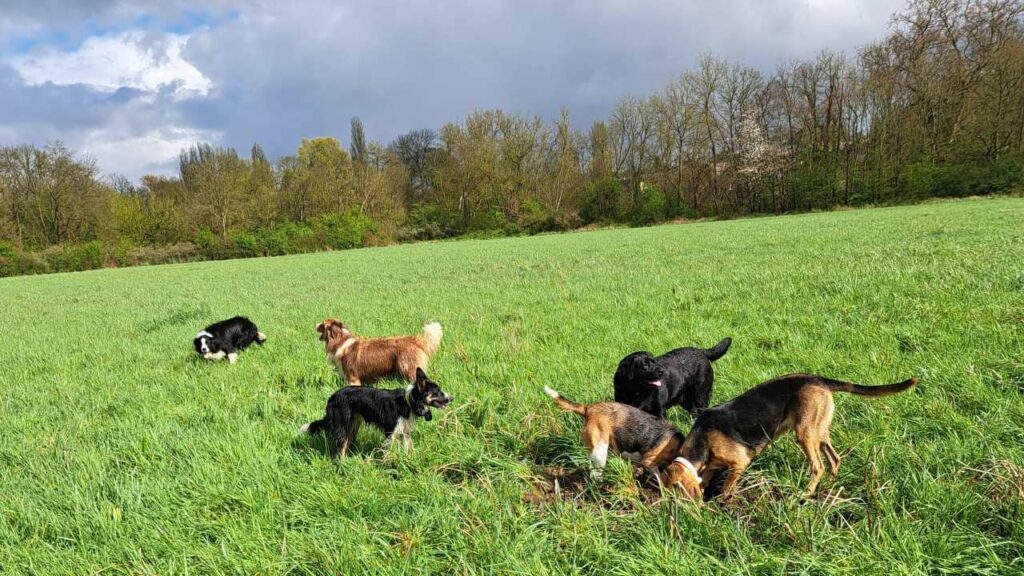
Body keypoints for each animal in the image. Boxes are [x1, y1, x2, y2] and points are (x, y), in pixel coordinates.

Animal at [299, 366, 452, 453]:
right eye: (437, 392)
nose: (451, 398)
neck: (409, 402)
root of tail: (332, 397)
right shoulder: (390, 433)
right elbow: (389, 454)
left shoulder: (405, 433)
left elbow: (409, 450)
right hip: (343, 426)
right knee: (341, 449)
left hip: (353, 425)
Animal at [315, 317, 444, 385]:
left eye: (322, 325)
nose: (314, 324)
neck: (340, 341)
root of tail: (413, 340)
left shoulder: (352, 377)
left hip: (408, 368)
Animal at [667, 373, 917, 498]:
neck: (701, 442)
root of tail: (818, 379)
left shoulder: (739, 463)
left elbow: (726, 487)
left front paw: (721, 503)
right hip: (819, 431)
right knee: (834, 459)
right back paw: (828, 489)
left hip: (805, 434)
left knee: (819, 466)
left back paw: (806, 494)